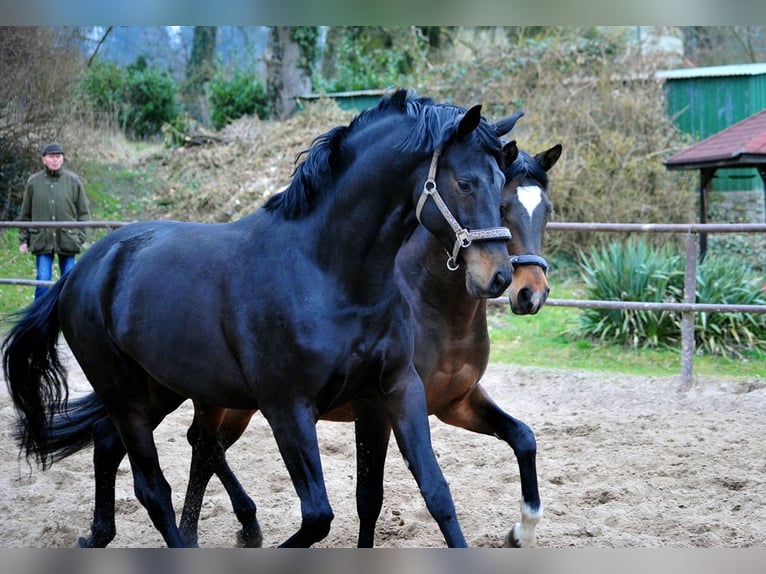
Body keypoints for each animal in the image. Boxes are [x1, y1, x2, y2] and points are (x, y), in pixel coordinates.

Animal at [2, 89, 518, 548]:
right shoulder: (288, 408)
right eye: (465, 182)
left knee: (113, 443)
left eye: (501, 184)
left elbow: (433, 493)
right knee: (153, 488)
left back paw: (99, 534)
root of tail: (84, 270)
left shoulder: (394, 388)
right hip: (125, 392)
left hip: (161, 389)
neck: (327, 273)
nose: (499, 276)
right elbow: (317, 518)